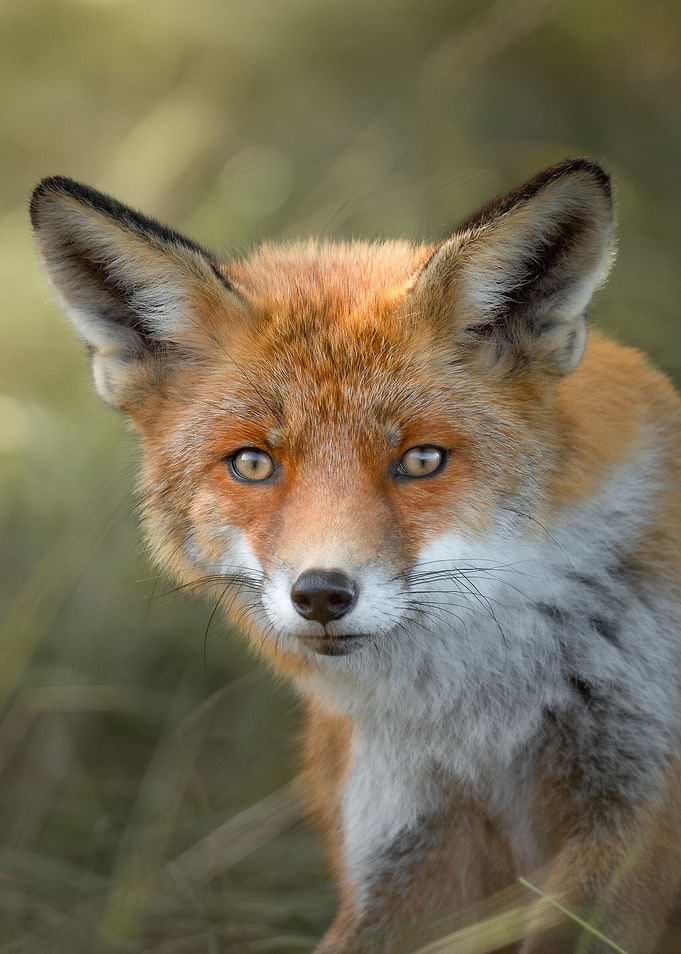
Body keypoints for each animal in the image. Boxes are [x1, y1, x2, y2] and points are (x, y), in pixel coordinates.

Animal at [30, 159, 681, 953]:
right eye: (252, 464)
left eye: (422, 460)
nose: (321, 594)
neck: (484, 715)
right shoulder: (402, 838)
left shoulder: (632, 812)